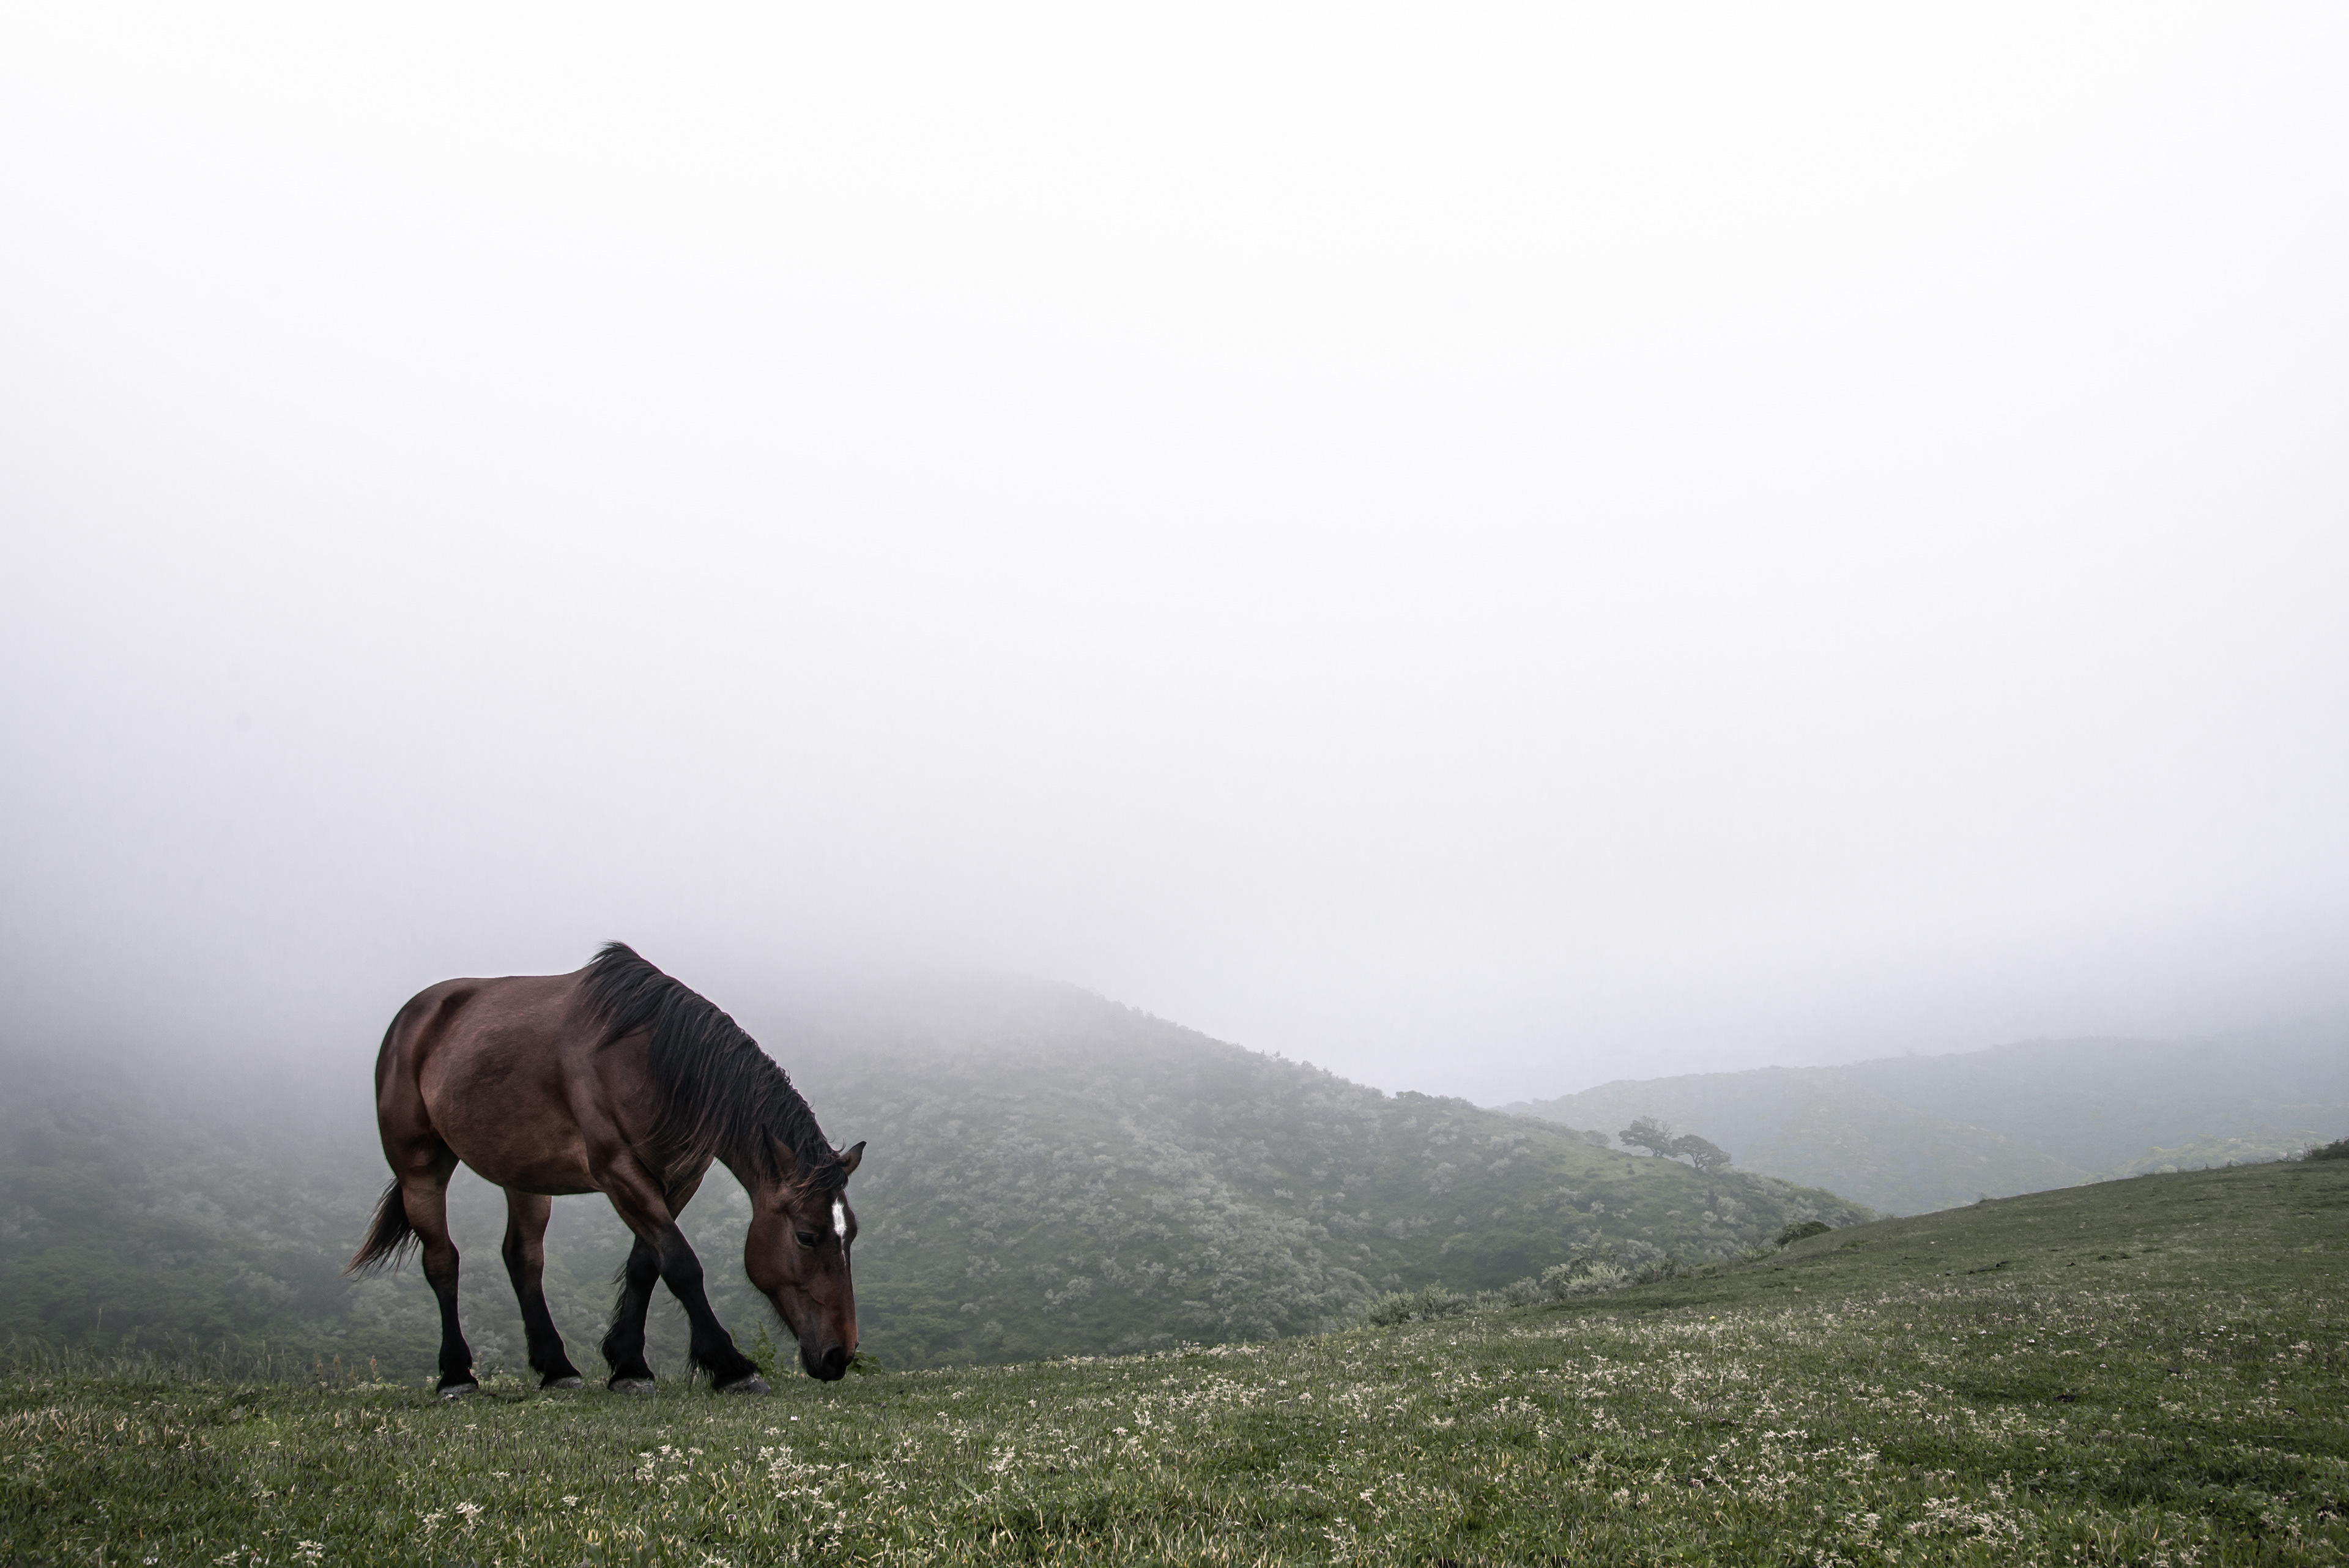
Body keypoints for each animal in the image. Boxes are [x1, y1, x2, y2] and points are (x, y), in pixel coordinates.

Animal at [347, 945, 864, 1401]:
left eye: (851, 1235)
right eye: (806, 1236)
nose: (840, 1355)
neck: (652, 1060)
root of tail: (413, 1017)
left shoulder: (677, 1180)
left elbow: (646, 1265)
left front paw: (629, 1365)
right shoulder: (620, 1173)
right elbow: (682, 1265)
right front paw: (730, 1365)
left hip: (525, 1175)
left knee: (523, 1259)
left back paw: (557, 1367)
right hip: (420, 1167)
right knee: (442, 1261)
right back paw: (457, 1375)